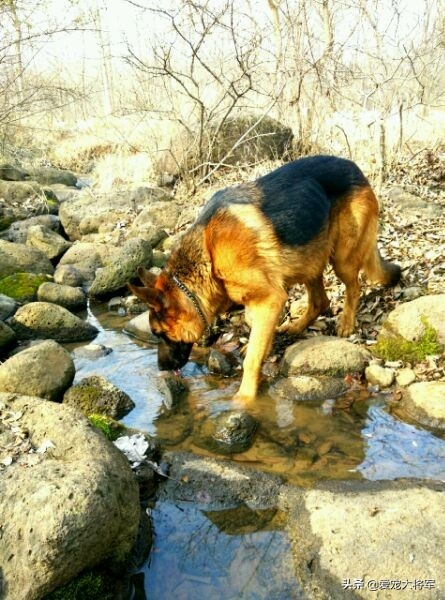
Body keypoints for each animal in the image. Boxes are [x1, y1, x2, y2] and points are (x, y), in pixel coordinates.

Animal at [127, 157, 398, 404]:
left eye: (159, 334)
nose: (161, 369)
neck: (208, 255)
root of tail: (356, 168)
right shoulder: (263, 301)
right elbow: (255, 331)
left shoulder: (270, 298)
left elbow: (252, 360)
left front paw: (244, 399)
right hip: (309, 258)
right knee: (320, 301)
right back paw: (296, 326)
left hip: (341, 258)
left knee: (354, 287)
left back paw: (346, 323)